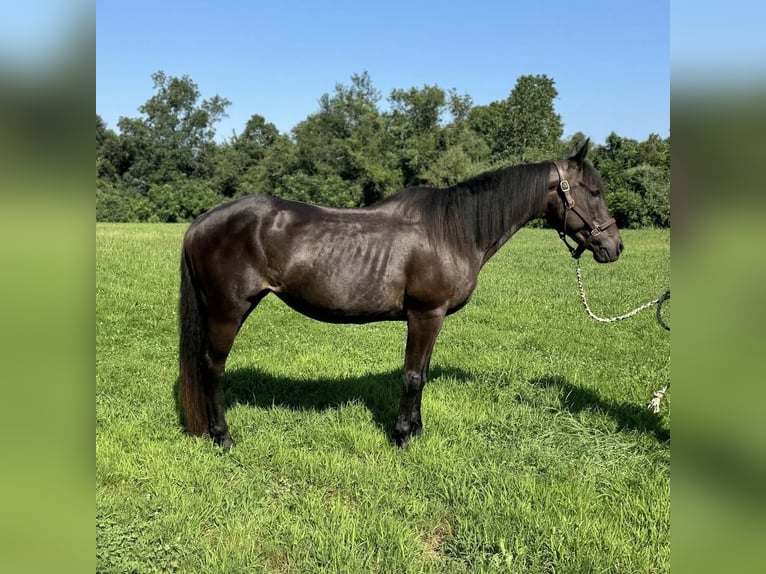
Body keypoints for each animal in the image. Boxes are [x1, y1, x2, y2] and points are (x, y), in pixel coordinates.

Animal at [178, 141, 624, 450]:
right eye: (594, 191)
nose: (614, 246)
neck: (453, 230)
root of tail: (201, 221)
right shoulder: (425, 315)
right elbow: (411, 376)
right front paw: (403, 437)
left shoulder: (432, 318)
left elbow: (421, 375)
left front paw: (417, 431)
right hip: (228, 311)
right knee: (212, 368)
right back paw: (223, 437)